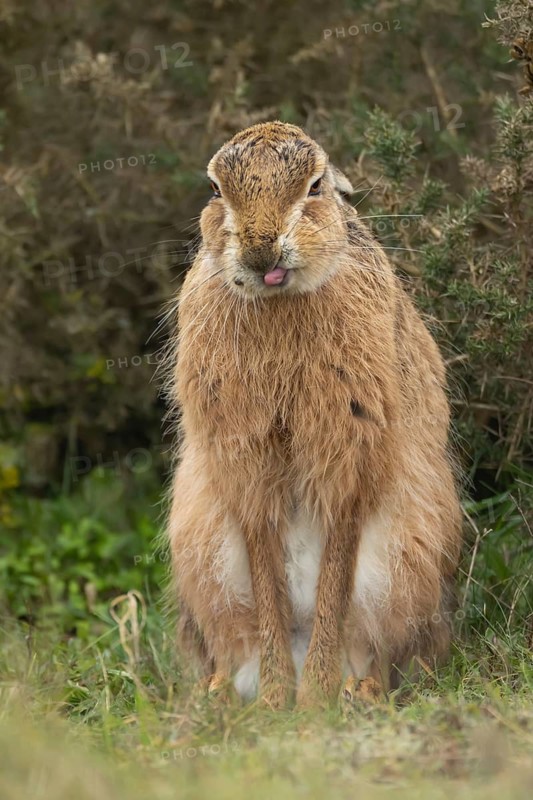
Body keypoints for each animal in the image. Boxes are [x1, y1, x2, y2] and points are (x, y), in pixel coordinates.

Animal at [166, 120, 462, 709]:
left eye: (316, 186)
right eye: (215, 190)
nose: (261, 252)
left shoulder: (350, 452)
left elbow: (335, 571)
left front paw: (314, 704)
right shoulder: (245, 463)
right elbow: (265, 568)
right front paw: (280, 701)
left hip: (407, 557)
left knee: (377, 643)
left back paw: (353, 691)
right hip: (201, 549)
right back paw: (225, 693)